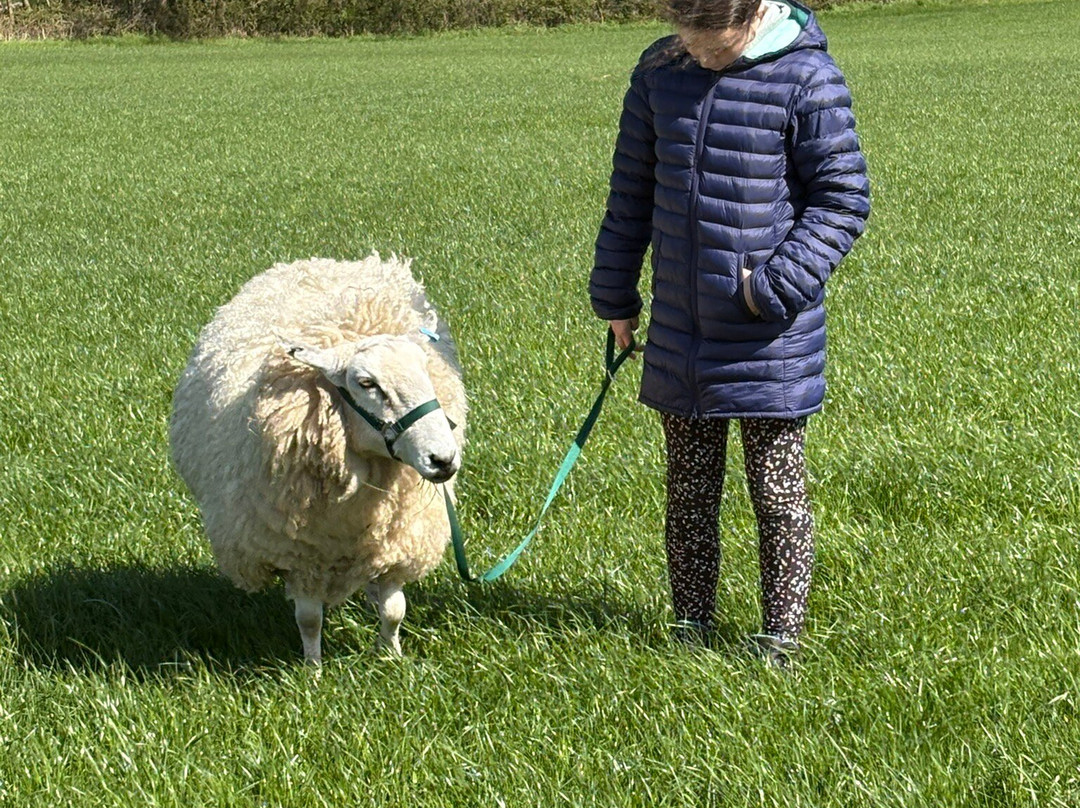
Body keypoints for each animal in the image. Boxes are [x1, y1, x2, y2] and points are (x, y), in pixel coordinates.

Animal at [169, 254, 467, 663]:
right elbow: (309, 620)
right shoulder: (299, 555)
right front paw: (313, 669)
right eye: (366, 383)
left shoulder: (398, 541)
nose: (443, 459)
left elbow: (394, 609)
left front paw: (391, 658)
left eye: (426, 371)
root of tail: (321, 262)